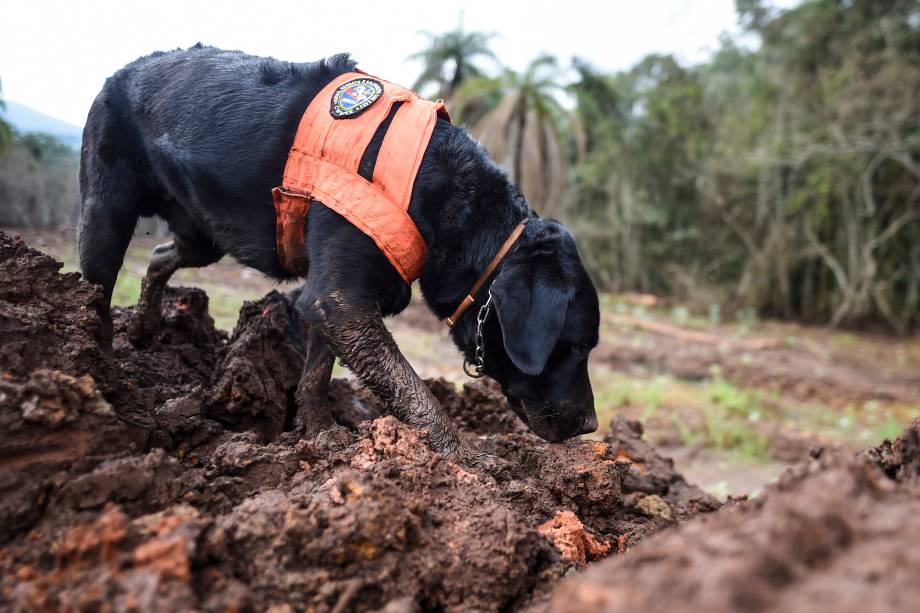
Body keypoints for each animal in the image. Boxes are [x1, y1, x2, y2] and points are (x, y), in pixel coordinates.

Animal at [77, 45, 596, 462]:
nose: (591, 425)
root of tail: (125, 69)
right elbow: (416, 395)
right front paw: (466, 458)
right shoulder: (342, 301)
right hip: (106, 210)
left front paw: (320, 434)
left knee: (160, 254)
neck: (446, 193)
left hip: (202, 234)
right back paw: (102, 376)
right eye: (572, 347)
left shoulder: (330, 301)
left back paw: (144, 328)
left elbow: (316, 374)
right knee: (95, 294)